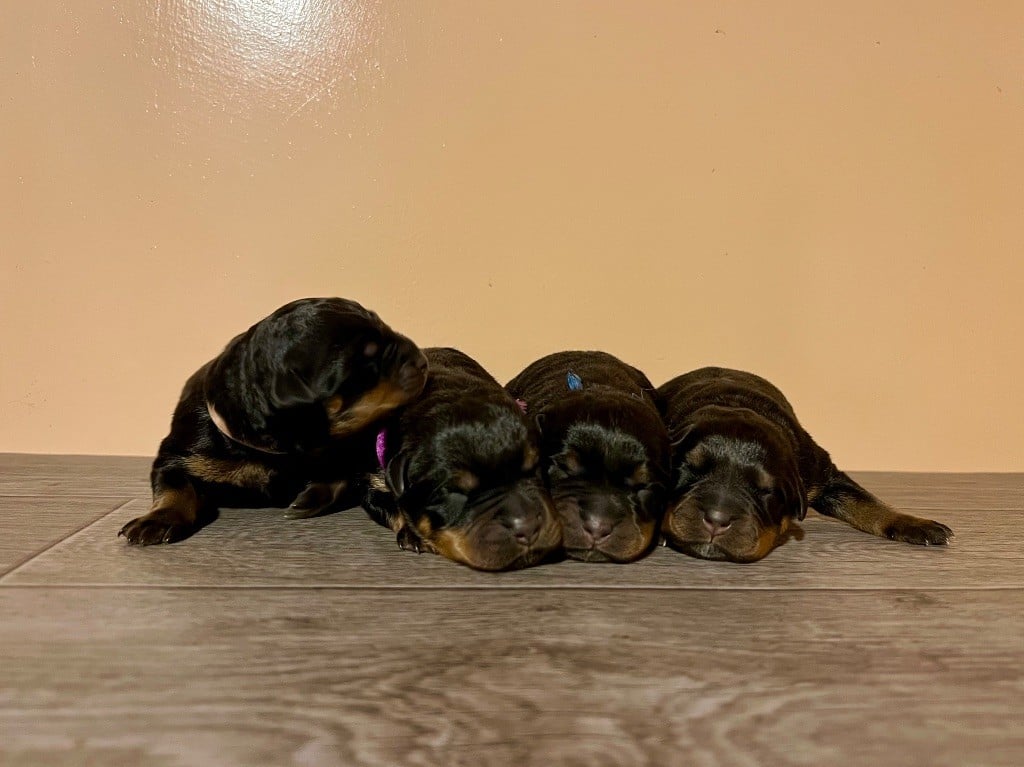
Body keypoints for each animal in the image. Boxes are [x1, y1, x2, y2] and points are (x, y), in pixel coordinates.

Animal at [658, 367, 953, 562]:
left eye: (765, 491)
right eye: (688, 470)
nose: (717, 520)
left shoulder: (822, 476)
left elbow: (868, 503)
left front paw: (916, 524)